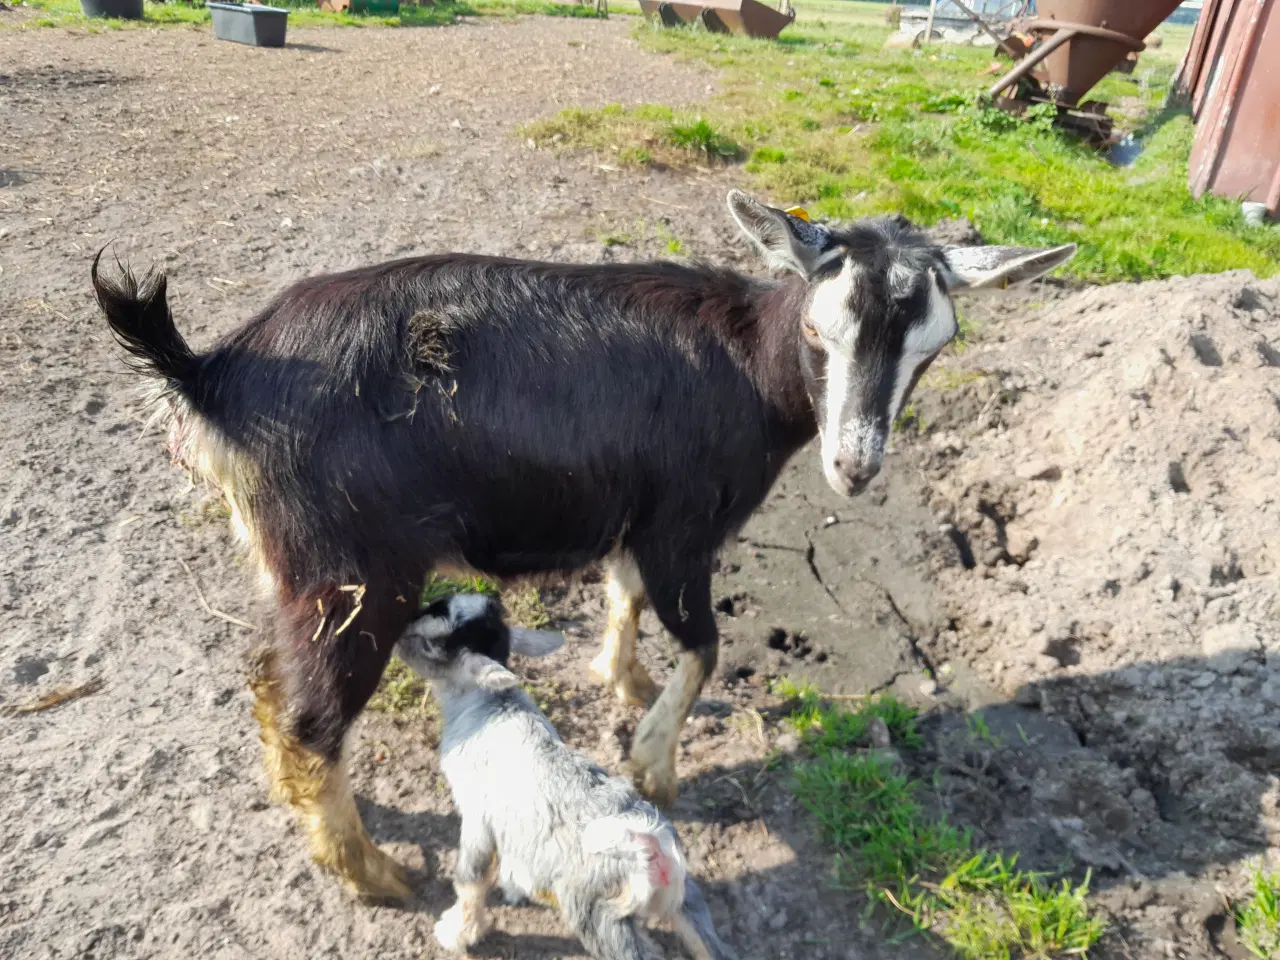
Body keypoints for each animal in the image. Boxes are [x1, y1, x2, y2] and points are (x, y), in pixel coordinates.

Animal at [90, 189, 1075, 901]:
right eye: (813, 330)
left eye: (934, 347)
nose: (856, 467)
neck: (747, 366)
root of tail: (210, 372)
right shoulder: (682, 524)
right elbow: (704, 643)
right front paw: (654, 762)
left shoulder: (633, 519)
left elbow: (627, 596)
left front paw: (623, 679)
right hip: (358, 573)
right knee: (312, 718)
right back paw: (376, 875)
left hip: (296, 569)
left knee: (267, 683)